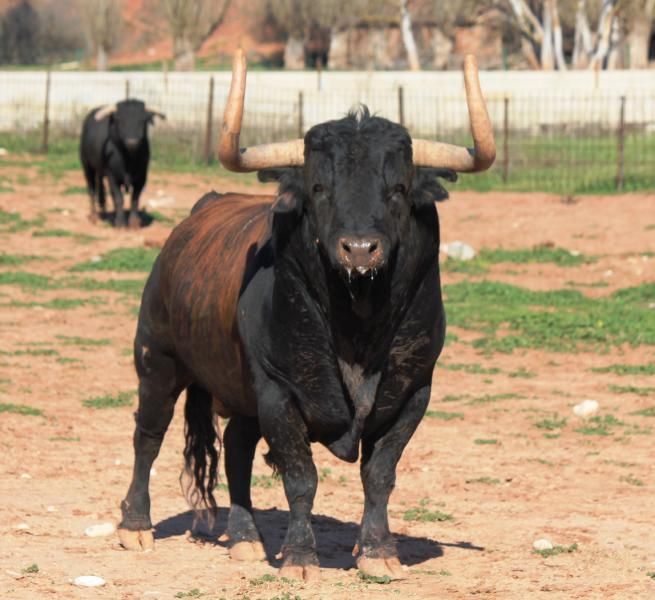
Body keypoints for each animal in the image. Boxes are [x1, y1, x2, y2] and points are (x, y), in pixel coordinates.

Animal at [80, 99, 165, 229]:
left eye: (143, 119)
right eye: (120, 119)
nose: (132, 142)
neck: (128, 161)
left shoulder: (142, 177)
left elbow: (135, 199)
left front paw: (134, 223)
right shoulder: (112, 177)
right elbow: (118, 198)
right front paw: (119, 223)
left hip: (100, 170)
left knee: (101, 189)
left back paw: (105, 213)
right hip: (87, 166)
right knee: (91, 189)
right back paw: (94, 216)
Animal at [118, 51, 494, 580]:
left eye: (398, 188)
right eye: (319, 187)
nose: (360, 248)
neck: (358, 327)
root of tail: (195, 216)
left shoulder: (414, 392)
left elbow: (380, 474)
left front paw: (378, 551)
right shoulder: (280, 392)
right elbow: (301, 477)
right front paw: (299, 557)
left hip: (239, 393)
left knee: (235, 449)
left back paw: (244, 538)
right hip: (158, 361)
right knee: (148, 436)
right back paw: (135, 525)